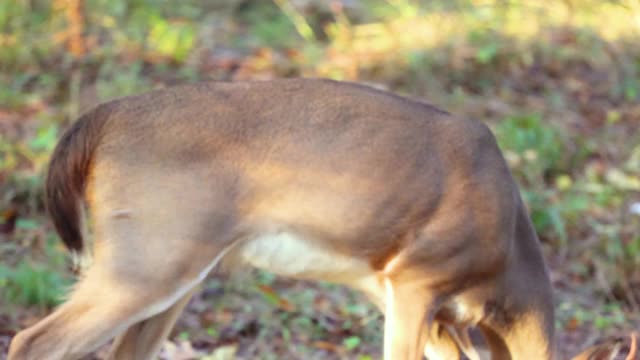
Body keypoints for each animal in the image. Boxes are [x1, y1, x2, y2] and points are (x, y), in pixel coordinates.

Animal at [6, 79, 556, 360]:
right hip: (149, 256)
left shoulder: (398, 293)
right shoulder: (417, 279)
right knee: (31, 341)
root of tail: (101, 120)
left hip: (173, 268)